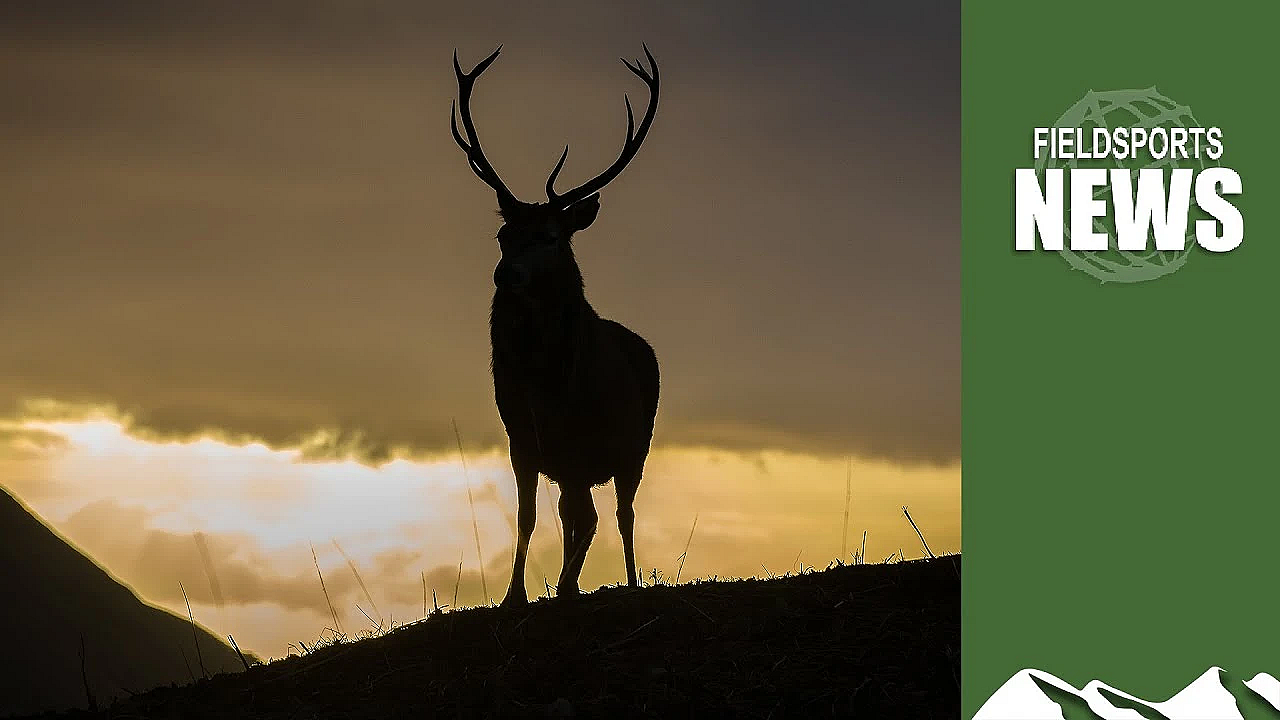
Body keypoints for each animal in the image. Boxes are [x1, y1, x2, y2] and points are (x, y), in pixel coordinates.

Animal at [450, 45, 662, 607]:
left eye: (550, 235)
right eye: (504, 234)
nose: (507, 274)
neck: (545, 384)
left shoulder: (579, 441)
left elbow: (585, 518)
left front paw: (565, 587)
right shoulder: (521, 438)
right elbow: (526, 518)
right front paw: (514, 596)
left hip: (635, 446)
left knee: (620, 514)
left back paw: (627, 581)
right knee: (581, 514)